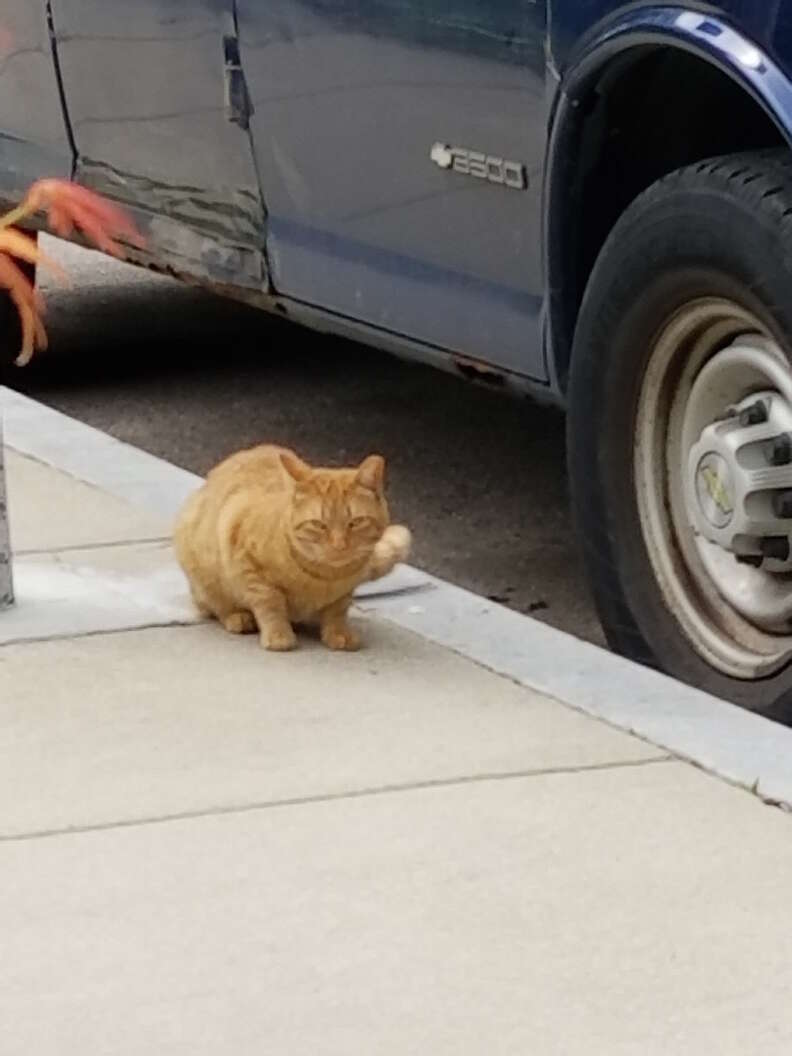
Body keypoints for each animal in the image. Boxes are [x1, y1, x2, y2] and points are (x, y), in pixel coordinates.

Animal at [173, 441, 409, 646]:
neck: (325, 577)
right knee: (213, 606)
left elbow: (337, 610)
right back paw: (237, 617)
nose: (339, 545)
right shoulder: (245, 557)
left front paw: (338, 633)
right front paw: (279, 635)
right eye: (318, 525)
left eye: (356, 522)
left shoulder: (344, 593)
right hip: (202, 573)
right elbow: (270, 602)